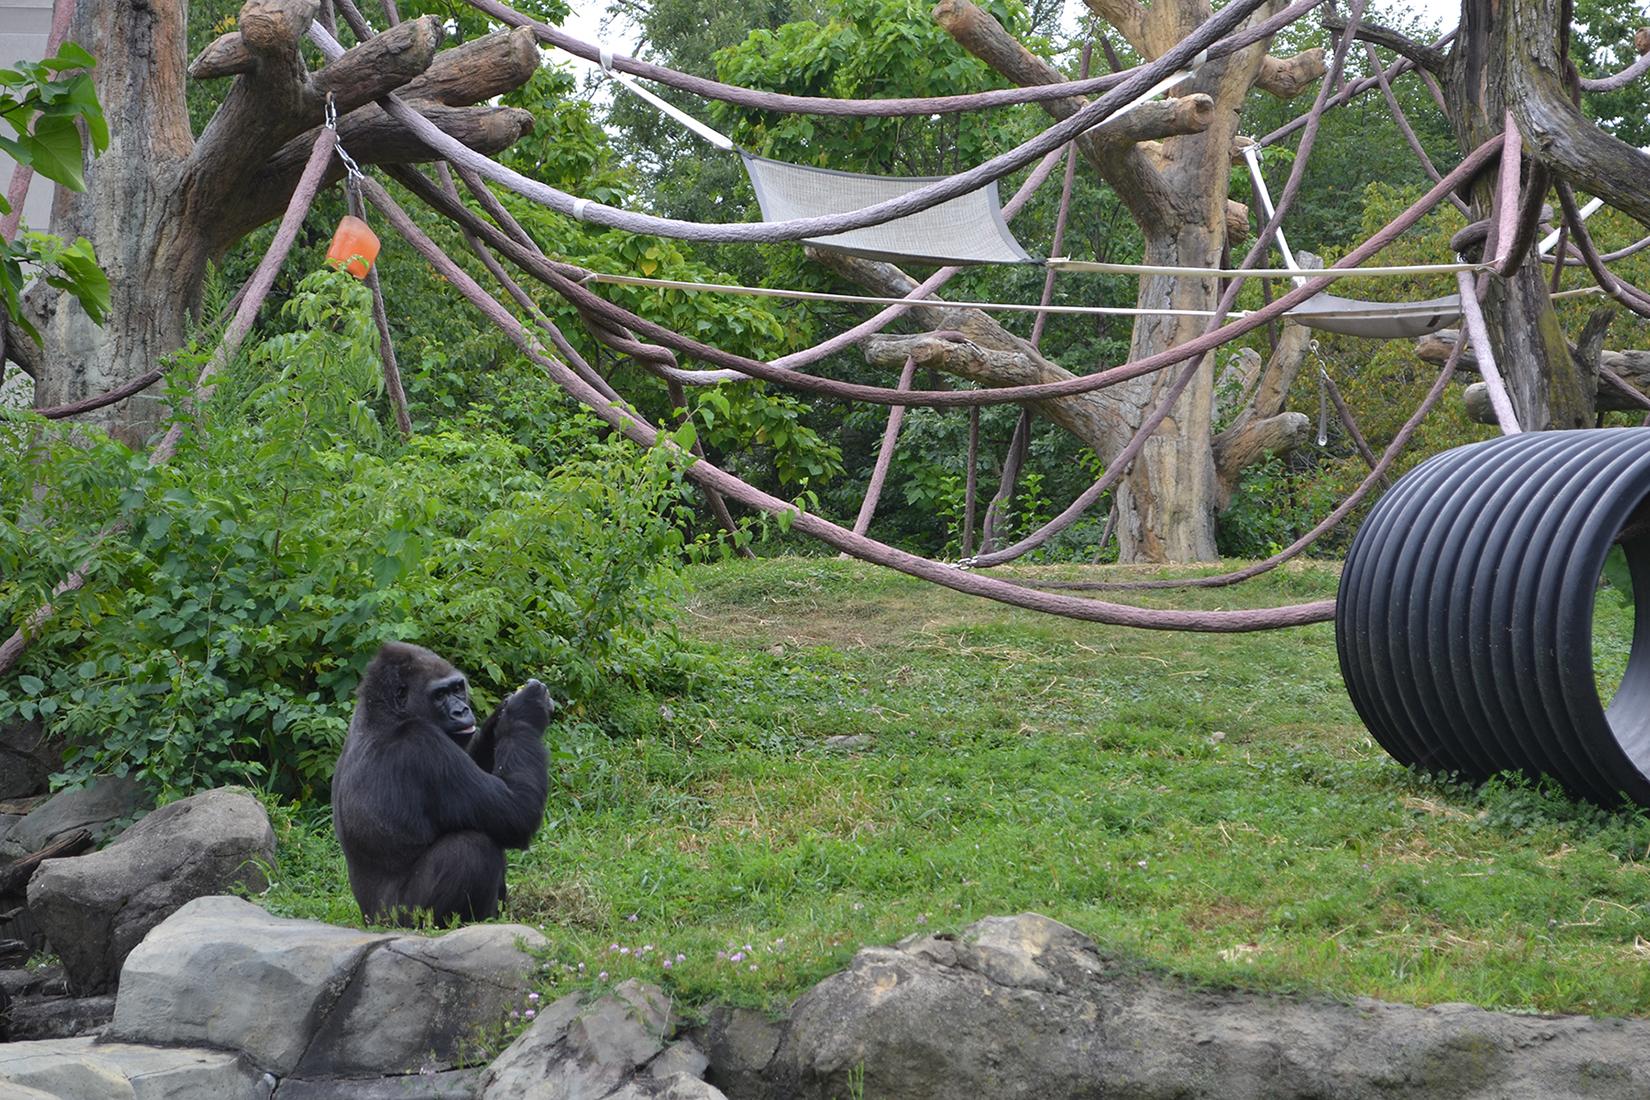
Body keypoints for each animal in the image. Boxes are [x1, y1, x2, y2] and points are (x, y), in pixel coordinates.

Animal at [333, 639, 554, 923]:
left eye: (458, 689)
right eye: (439, 696)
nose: (462, 711)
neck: (385, 714)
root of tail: (370, 918)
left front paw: (501, 714)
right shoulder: (424, 747)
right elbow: (517, 813)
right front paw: (526, 708)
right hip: (402, 916)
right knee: (472, 846)